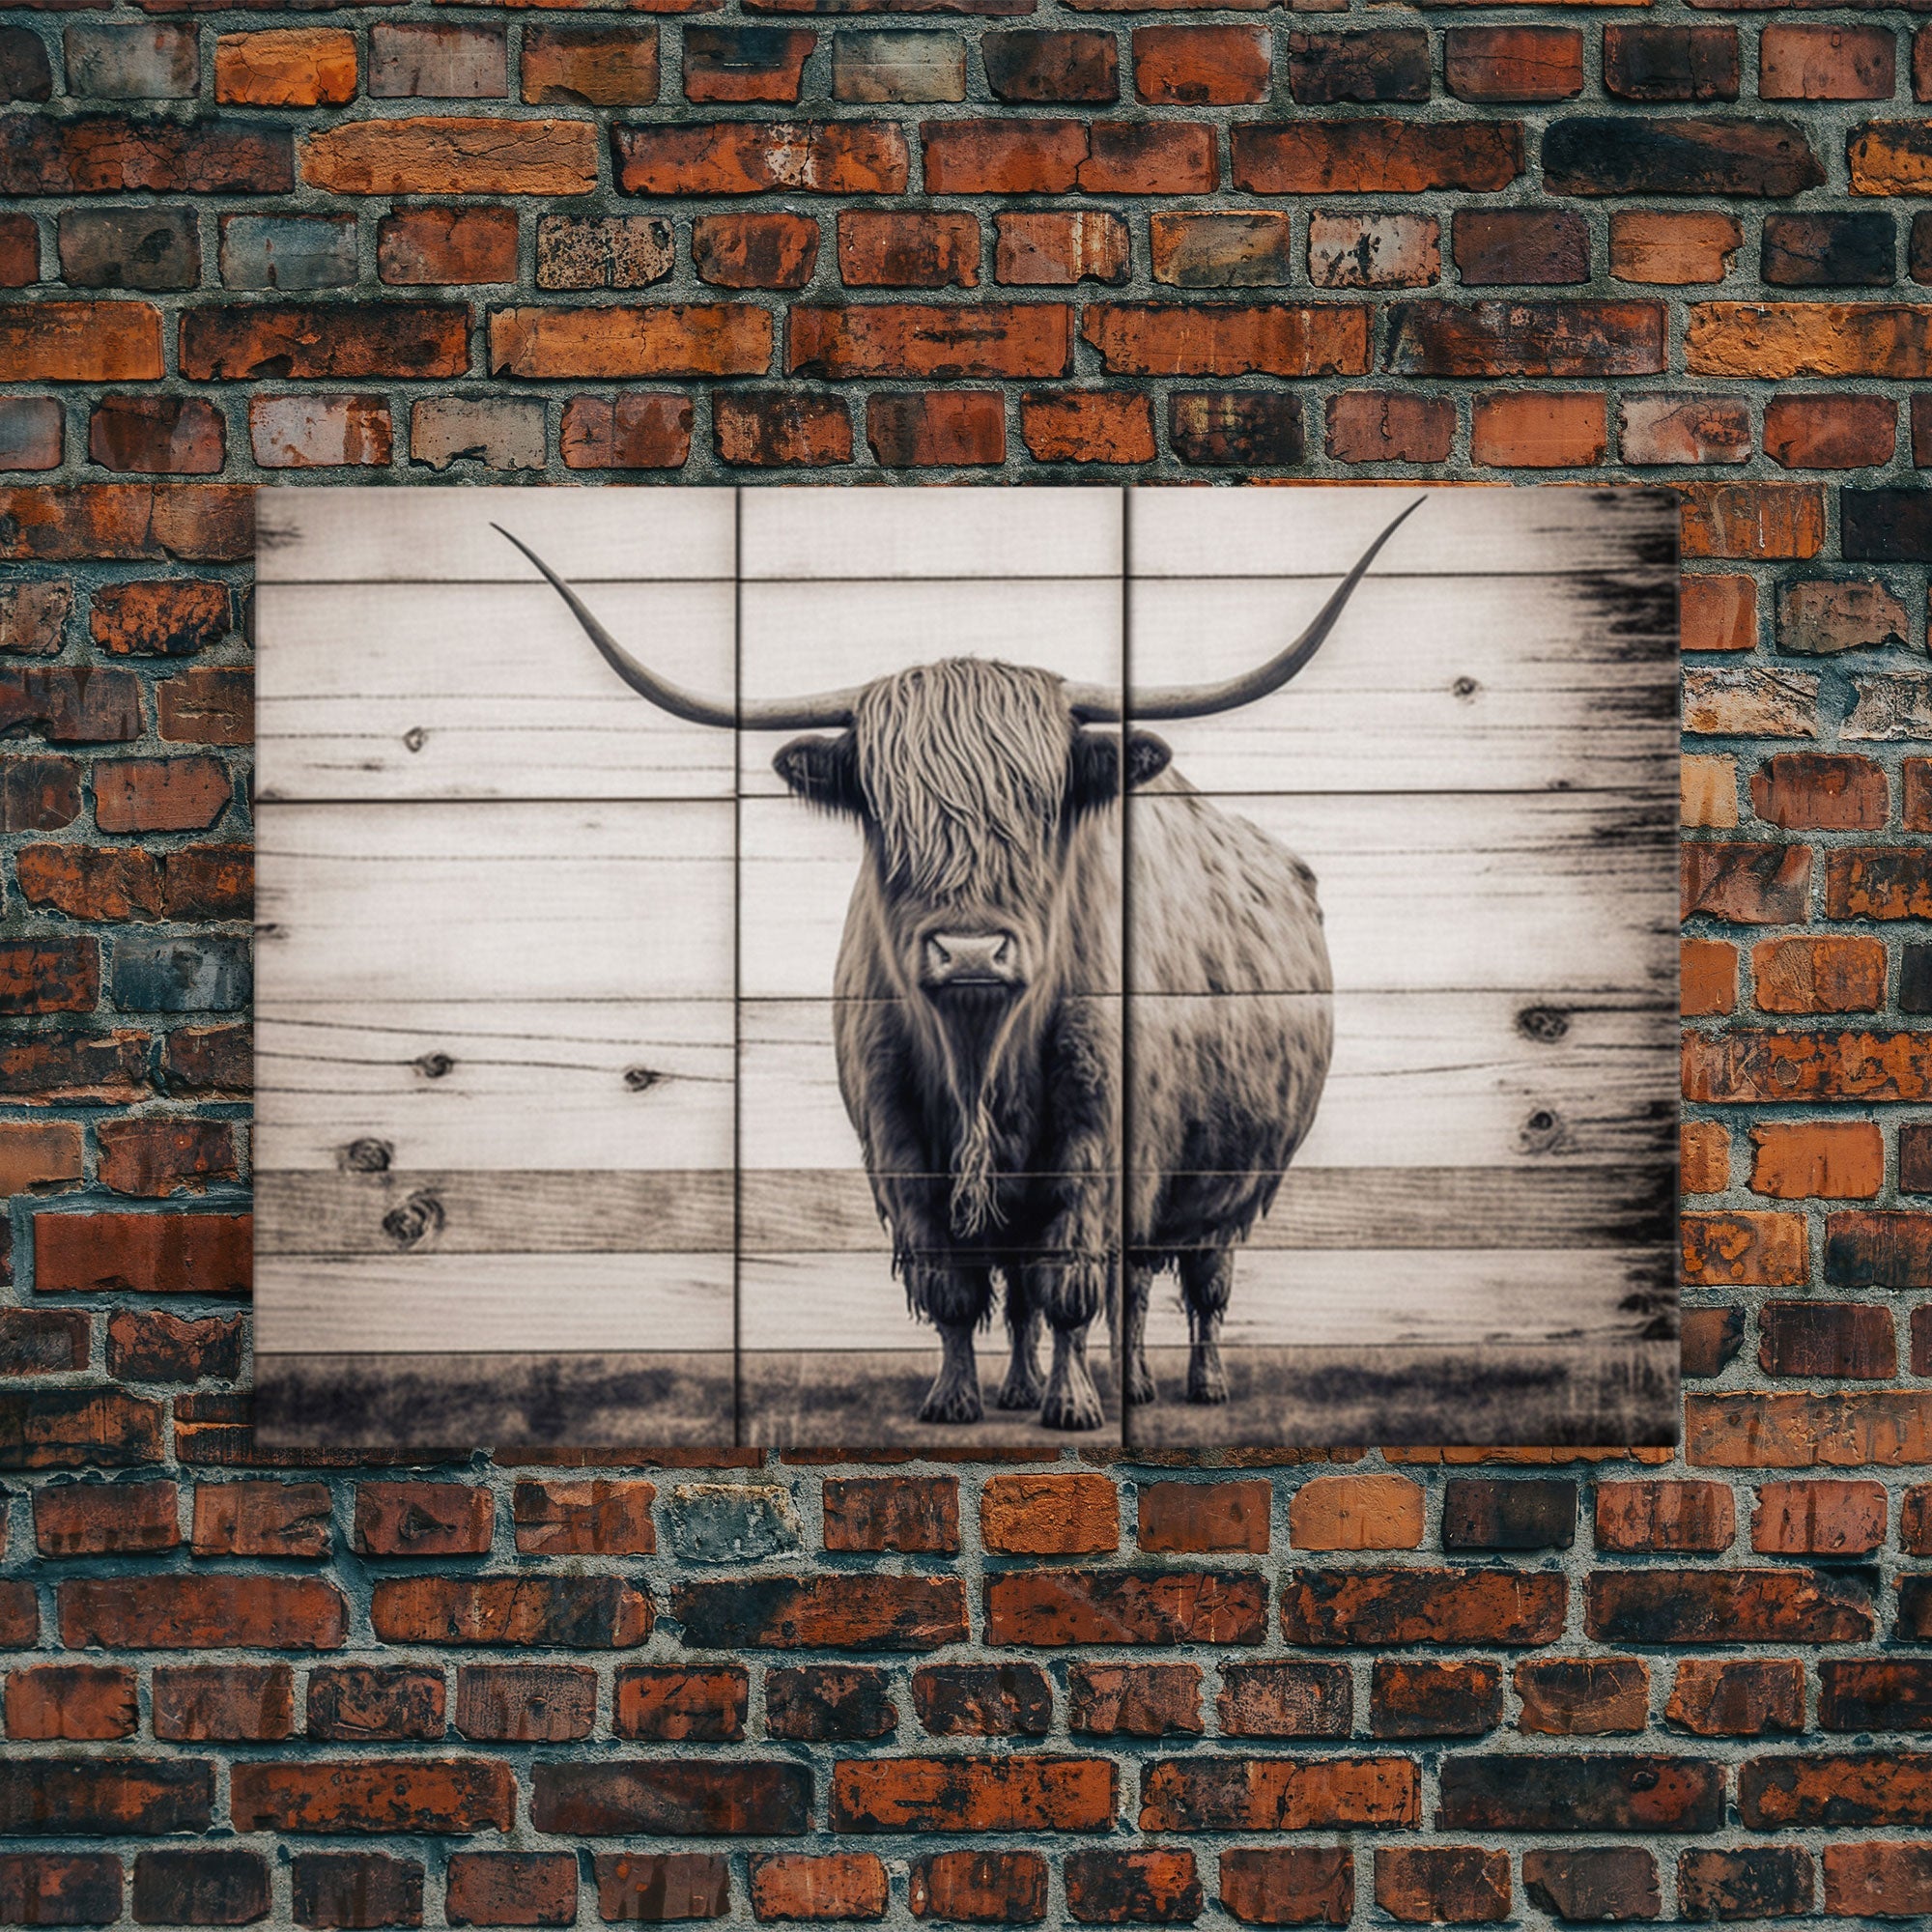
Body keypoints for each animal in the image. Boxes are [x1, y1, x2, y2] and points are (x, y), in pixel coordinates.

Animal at [497, 501, 1417, 1432]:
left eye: (1044, 808)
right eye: (886, 812)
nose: (971, 949)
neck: (980, 1061)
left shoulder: (1101, 1141)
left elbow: (1071, 1283)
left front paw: (1073, 1405)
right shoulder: (898, 1140)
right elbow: (955, 1291)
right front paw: (955, 1398)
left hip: (1229, 1188)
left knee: (1190, 1283)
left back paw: (1190, 1383)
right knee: (1060, 1294)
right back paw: (1045, 1385)